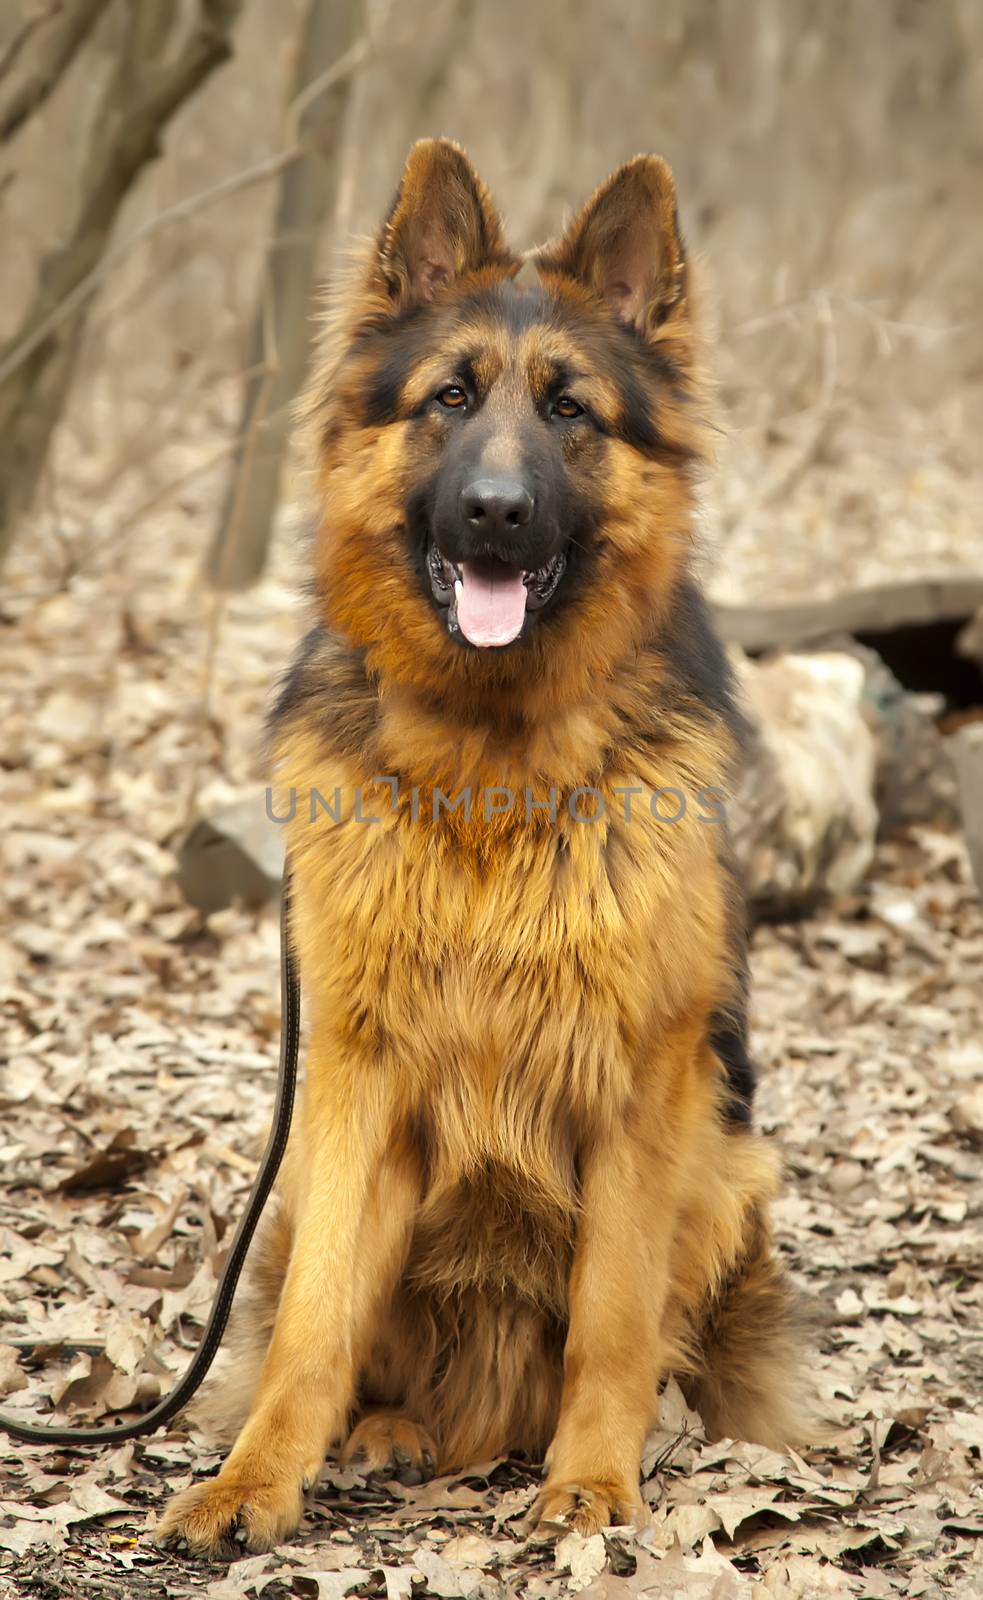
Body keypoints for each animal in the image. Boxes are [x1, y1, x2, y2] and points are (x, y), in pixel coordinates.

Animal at [160, 140, 800, 1561]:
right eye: (448, 397)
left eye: (568, 411)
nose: (498, 515)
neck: (488, 769)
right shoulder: (353, 1076)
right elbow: (312, 1322)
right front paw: (256, 1475)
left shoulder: (642, 1084)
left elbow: (611, 1315)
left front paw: (597, 1482)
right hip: (296, 1188)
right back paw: (390, 1428)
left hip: (729, 1169)